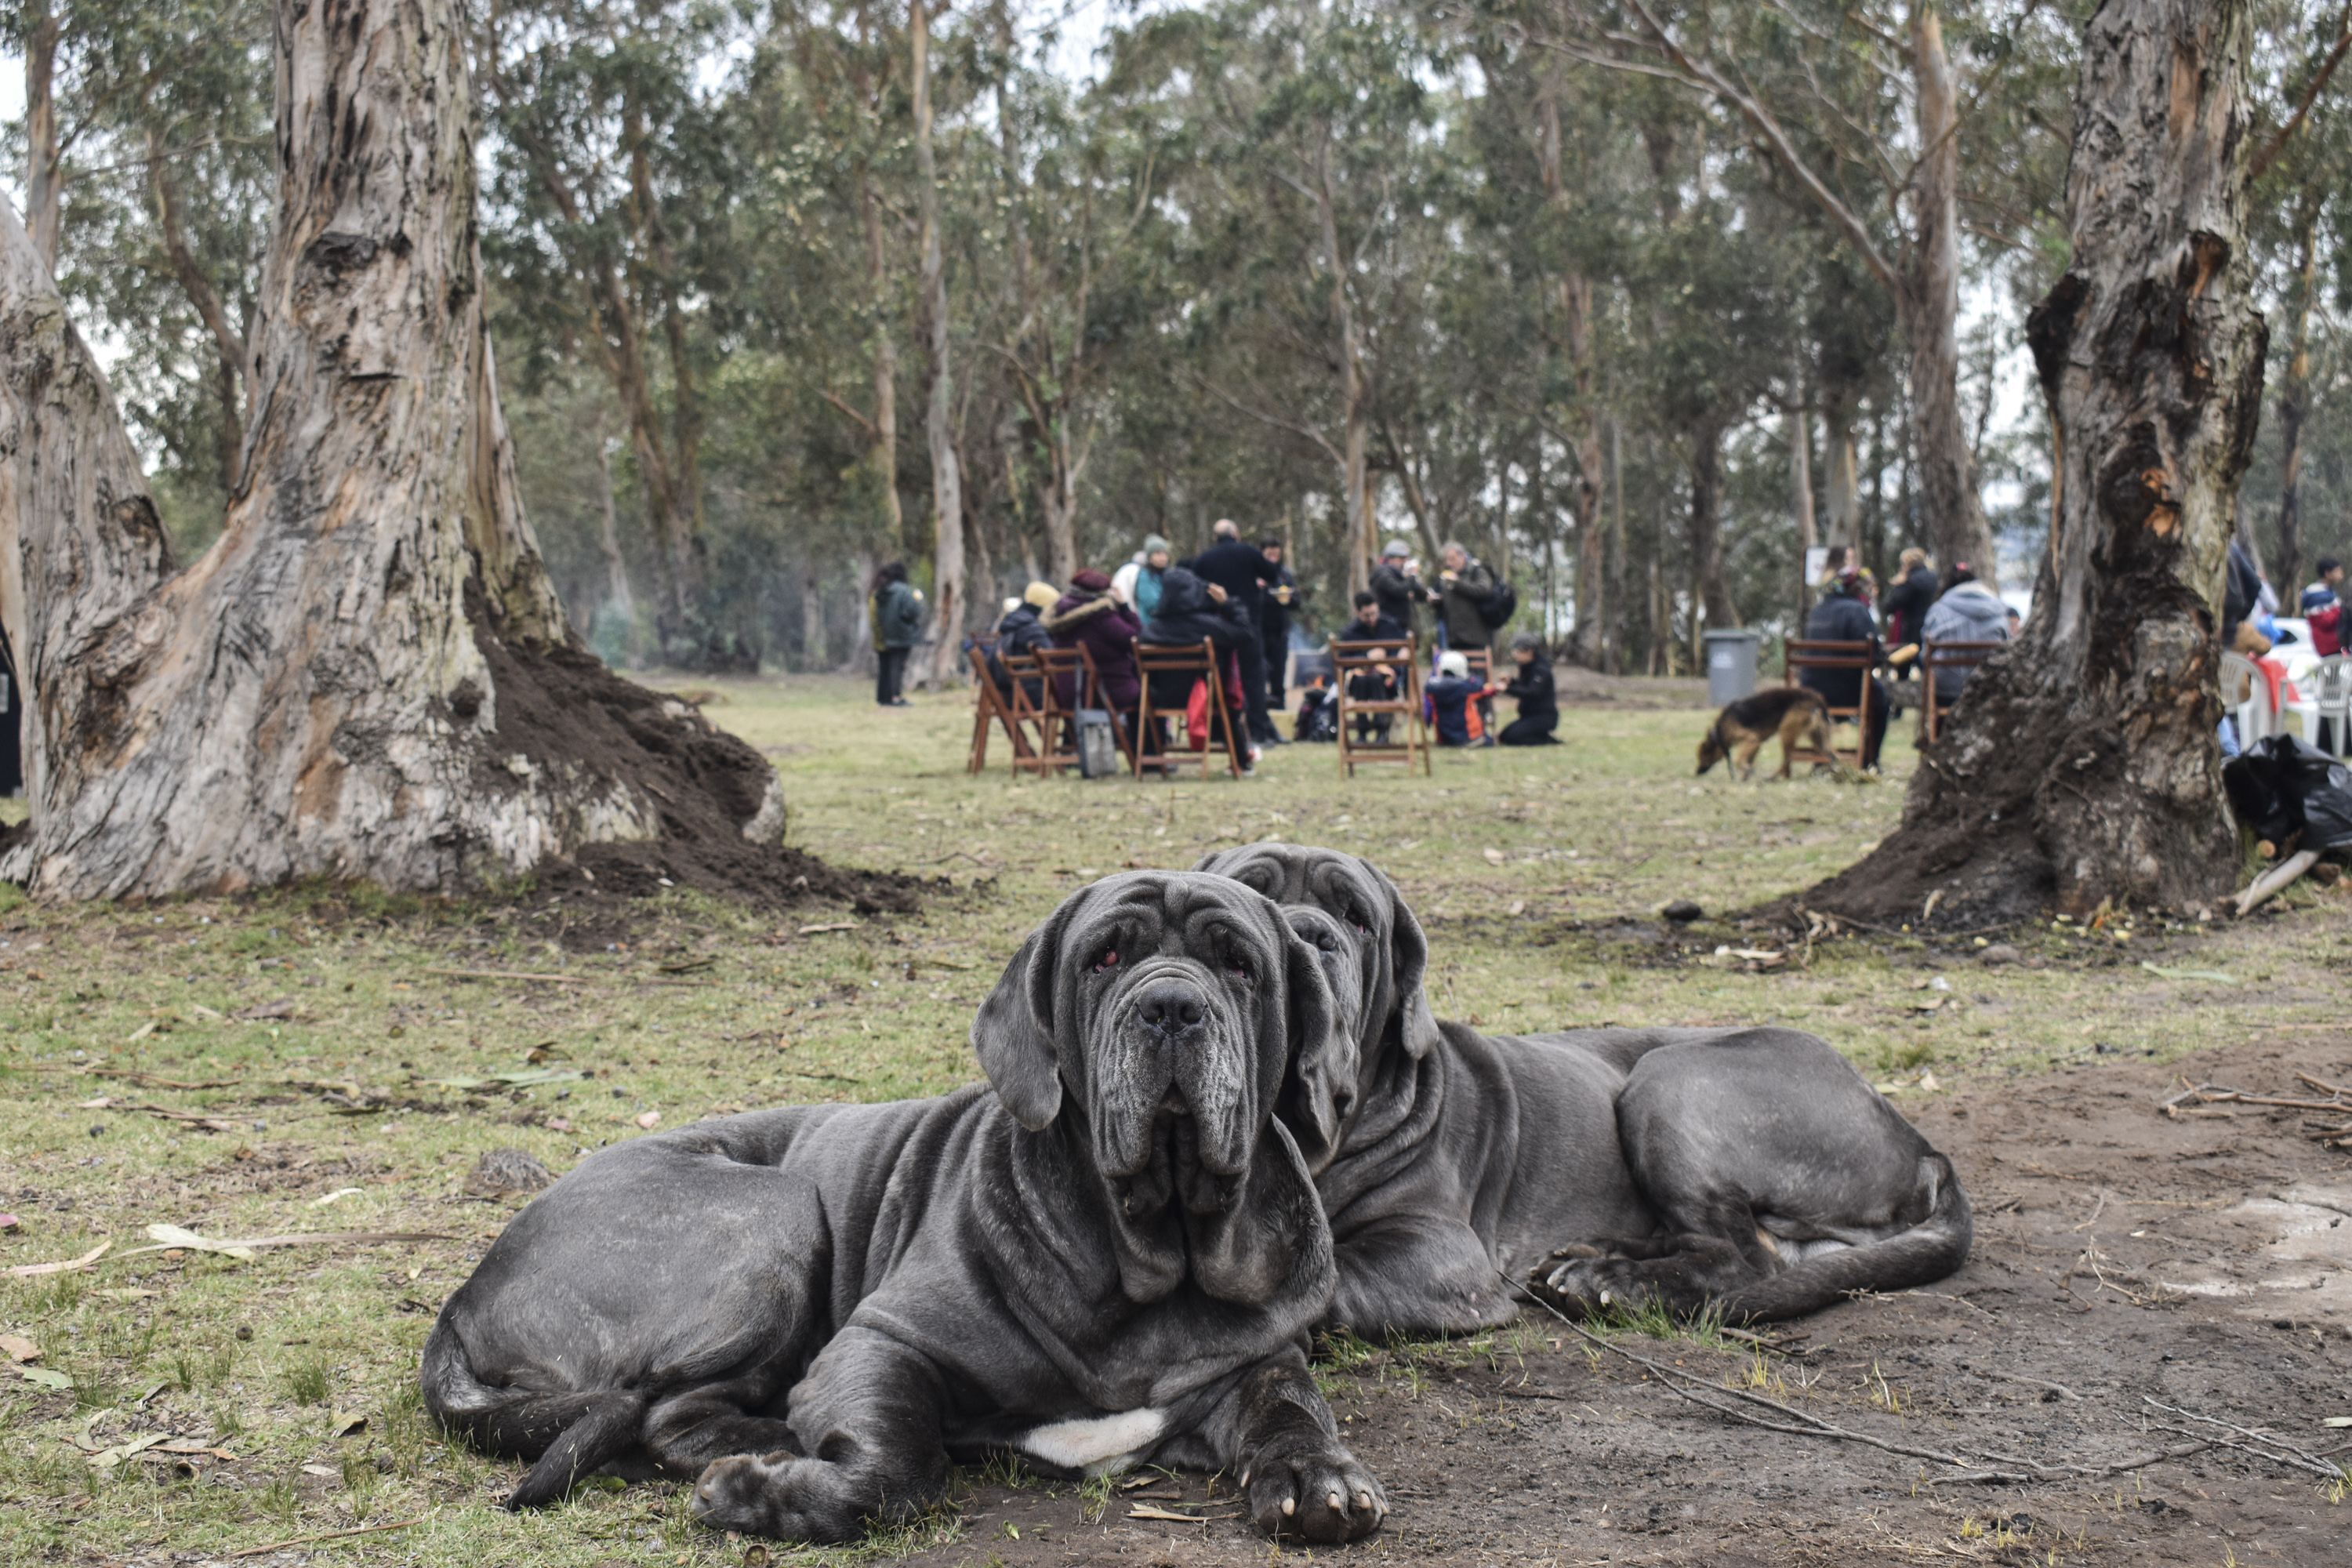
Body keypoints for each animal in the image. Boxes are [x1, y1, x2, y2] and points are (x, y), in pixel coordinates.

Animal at [423, 869, 1383, 1542]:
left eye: (1240, 964)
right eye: (1105, 958)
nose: (1173, 1005)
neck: (1155, 1244)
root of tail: (464, 1293)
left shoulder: (1262, 1358)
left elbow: (1293, 1404)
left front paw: (1320, 1475)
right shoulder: (883, 1343)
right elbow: (898, 1471)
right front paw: (757, 1493)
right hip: (778, 1212)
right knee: (663, 1409)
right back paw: (768, 1444)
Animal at [1195, 846, 1966, 1335]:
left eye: (1358, 918)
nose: (1305, 933)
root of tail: (1921, 1146)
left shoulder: (1441, 1253)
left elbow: (1328, 1276)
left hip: (1671, 1082)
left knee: (1746, 1257)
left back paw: (1611, 1282)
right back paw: (1586, 1261)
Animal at [1703, 691, 1844, 780]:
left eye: (1703, 755)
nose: (1698, 772)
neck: (1721, 729)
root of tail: (1817, 701)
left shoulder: (1752, 740)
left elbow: (1738, 760)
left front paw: (1746, 772)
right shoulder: (1756, 744)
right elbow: (1747, 761)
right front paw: (1745, 777)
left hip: (1786, 732)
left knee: (1787, 758)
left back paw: (1772, 777)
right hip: (1818, 740)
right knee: (1833, 756)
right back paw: (1834, 772)